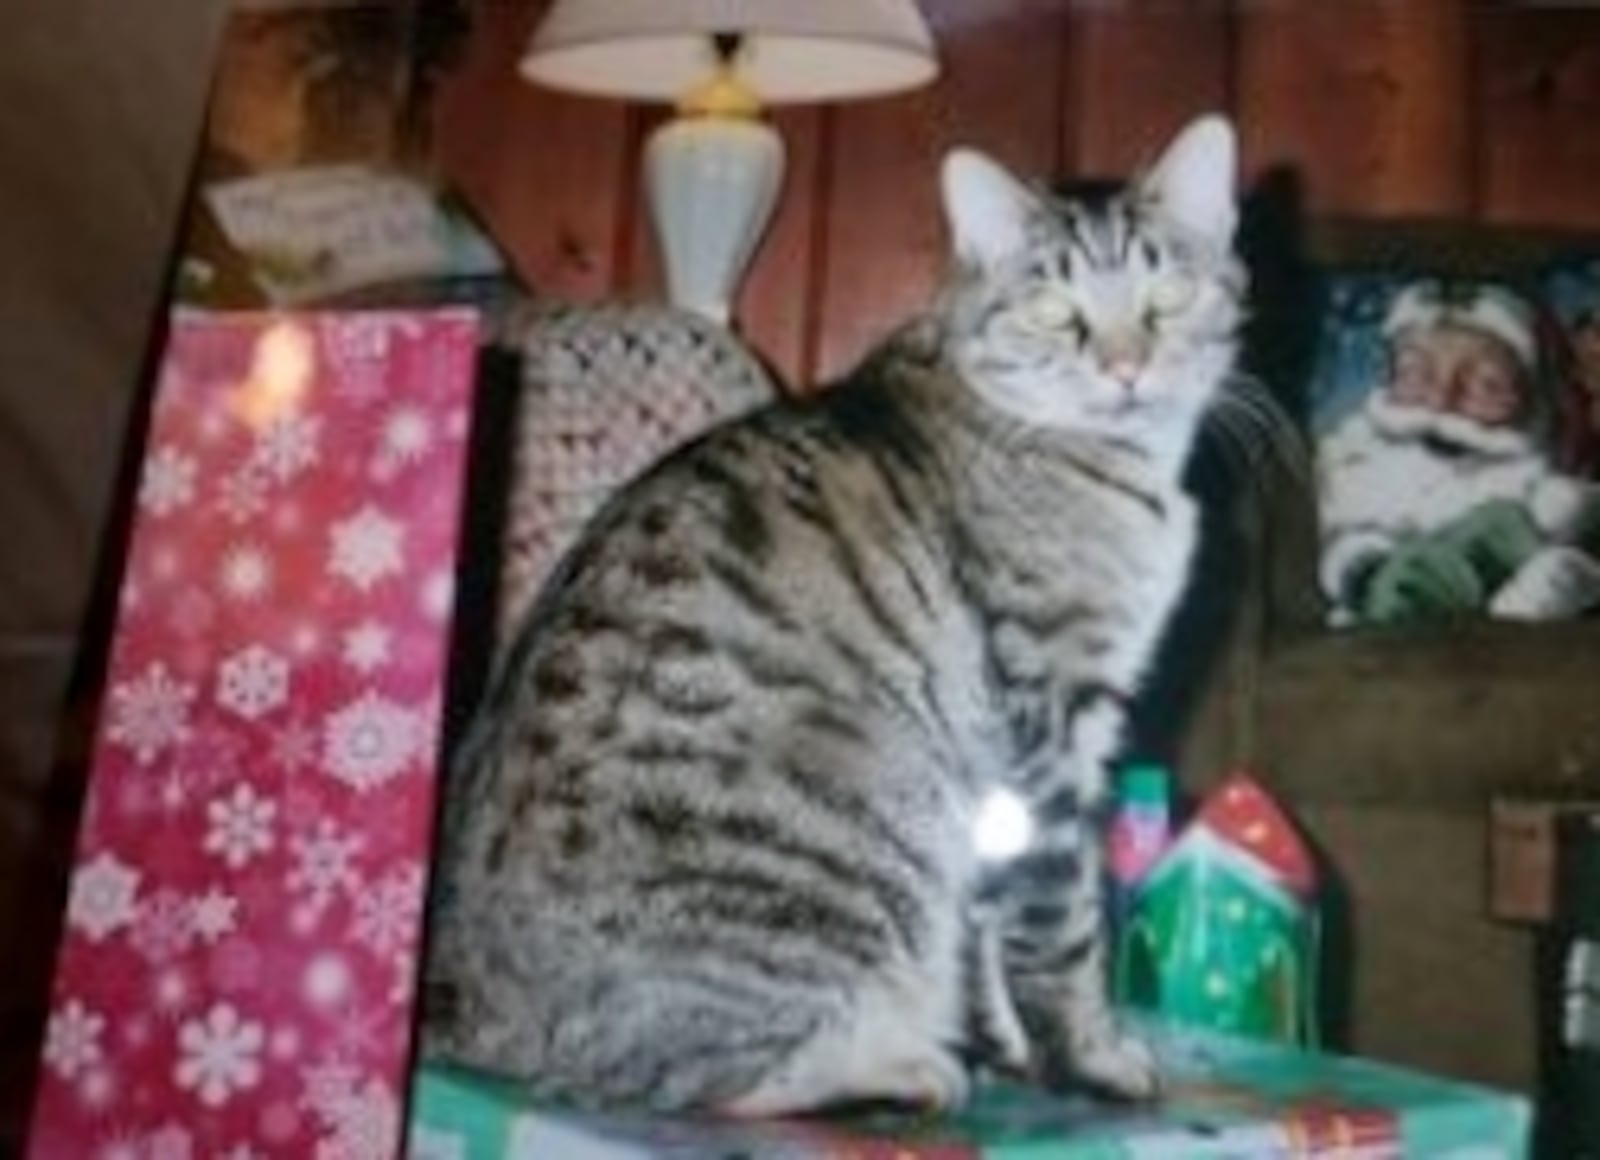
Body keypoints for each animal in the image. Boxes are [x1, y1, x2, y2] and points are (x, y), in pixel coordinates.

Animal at [425, 115, 1248, 1113]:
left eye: (1168, 293)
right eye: (1055, 311)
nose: (1126, 367)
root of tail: (464, 1008)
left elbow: (989, 931)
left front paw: (1010, 1044)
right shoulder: (1046, 721)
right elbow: (1061, 927)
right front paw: (1089, 1058)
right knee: (704, 1079)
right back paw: (902, 1067)